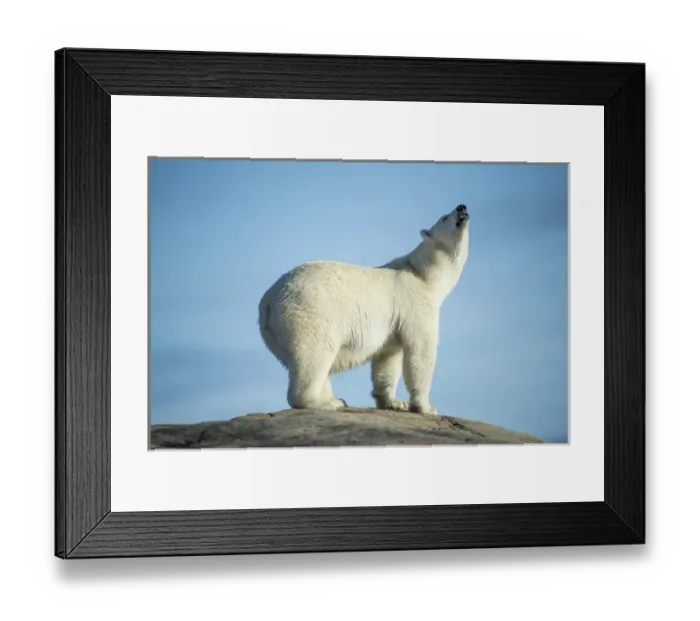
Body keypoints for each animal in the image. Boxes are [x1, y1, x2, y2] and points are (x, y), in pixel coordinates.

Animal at [258, 203, 470, 416]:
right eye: (444, 218)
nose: (462, 207)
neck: (425, 274)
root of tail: (267, 301)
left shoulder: (394, 321)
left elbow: (388, 358)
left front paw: (394, 402)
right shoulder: (415, 304)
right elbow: (421, 350)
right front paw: (427, 407)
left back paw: (334, 398)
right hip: (310, 313)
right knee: (314, 355)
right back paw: (325, 403)